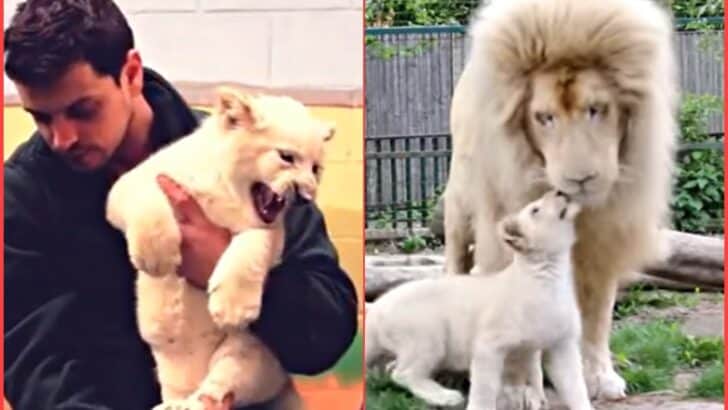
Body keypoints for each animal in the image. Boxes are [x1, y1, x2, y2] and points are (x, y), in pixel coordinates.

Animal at [443, 0, 678, 402]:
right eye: (544, 117)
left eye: (596, 109)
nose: (579, 179)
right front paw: (520, 388)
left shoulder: (602, 243)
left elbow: (597, 317)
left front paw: (601, 377)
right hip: (459, 204)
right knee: (454, 261)